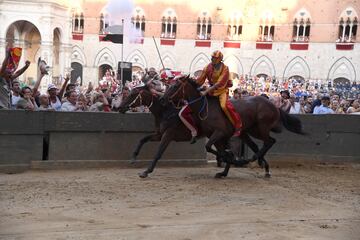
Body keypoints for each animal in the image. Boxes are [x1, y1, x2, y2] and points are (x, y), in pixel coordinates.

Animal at [163, 76, 306, 177]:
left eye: (175, 85)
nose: (164, 98)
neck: (206, 109)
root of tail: (274, 105)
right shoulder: (216, 136)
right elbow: (220, 150)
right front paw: (224, 171)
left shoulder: (219, 133)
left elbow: (211, 147)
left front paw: (233, 161)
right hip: (250, 130)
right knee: (258, 145)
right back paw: (263, 166)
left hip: (261, 128)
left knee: (269, 141)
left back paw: (254, 160)